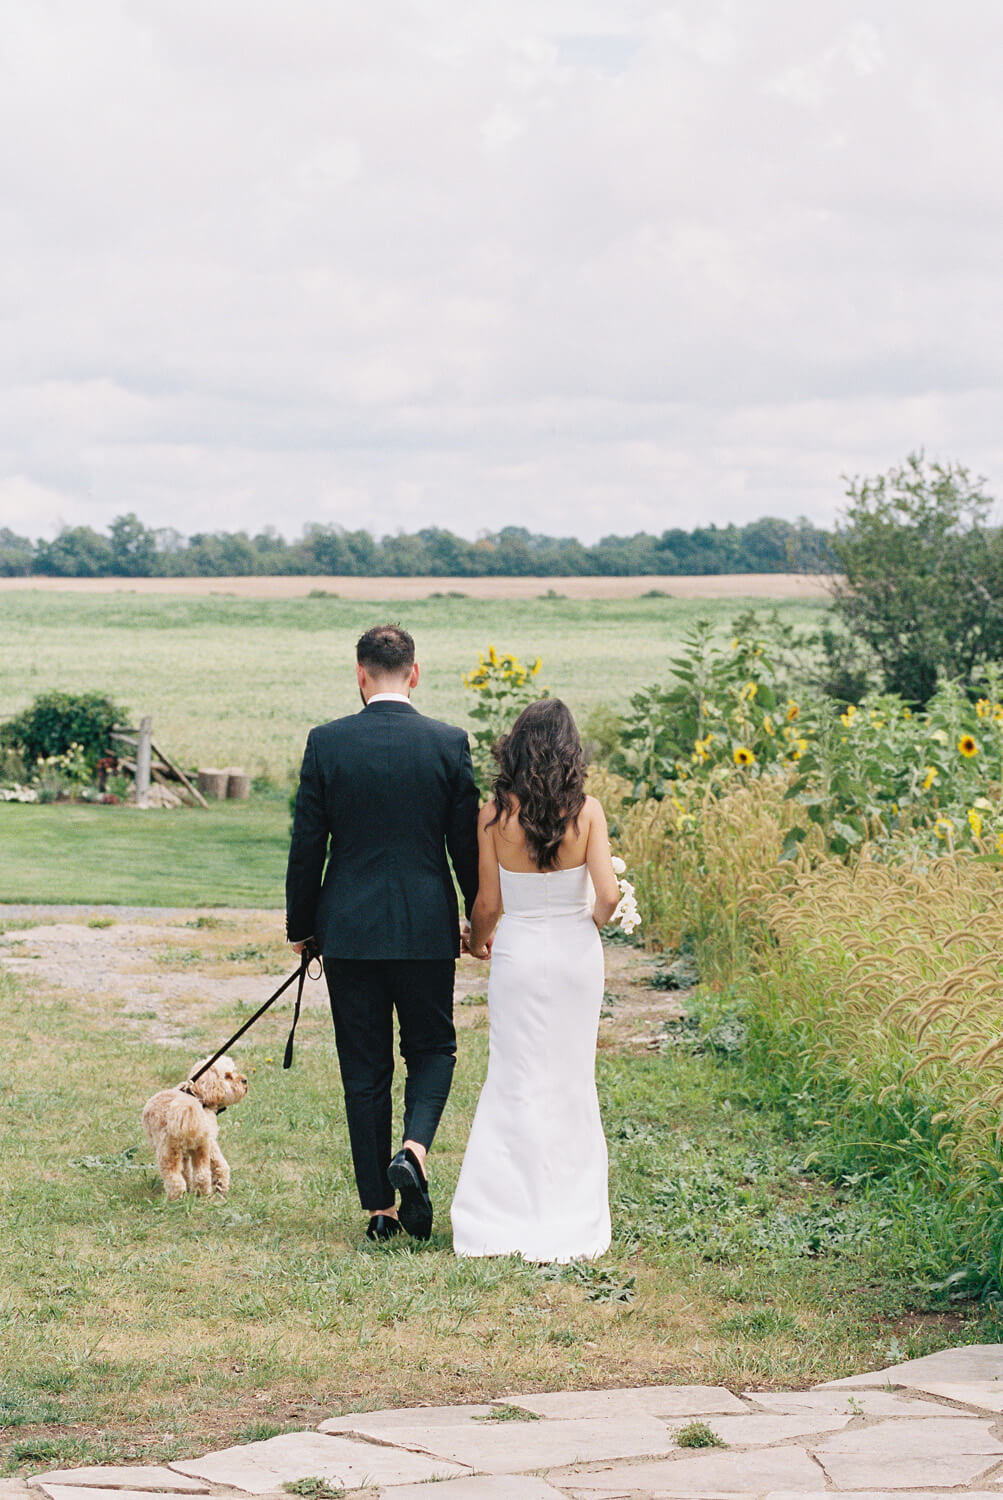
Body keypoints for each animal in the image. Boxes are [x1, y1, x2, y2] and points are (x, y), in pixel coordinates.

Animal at [141, 1062, 247, 1200]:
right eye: (227, 1076)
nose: (245, 1080)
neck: (197, 1094)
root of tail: (184, 1109)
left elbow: (187, 1170)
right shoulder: (209, 1142)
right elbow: (218, 1164)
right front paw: (220, 1184)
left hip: (174, 1151)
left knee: (181, 1177)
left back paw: (184, 1196)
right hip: (196, 1148)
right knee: (197, 1175)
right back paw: (196, 1194)